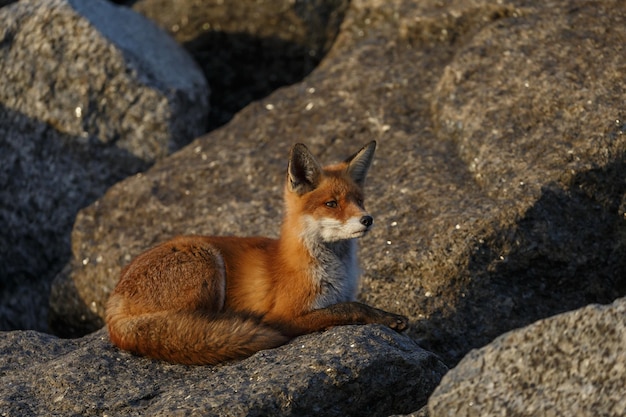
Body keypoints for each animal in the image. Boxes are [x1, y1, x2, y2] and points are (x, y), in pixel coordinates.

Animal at [105, 142, 408, 364]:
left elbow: (350, 304)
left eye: (359, 200)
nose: (367, 219)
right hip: (207, 262)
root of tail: (113, 302)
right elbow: (349, 308)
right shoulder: (286, 316)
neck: (337, 271)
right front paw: (384, 317)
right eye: (331, 204)